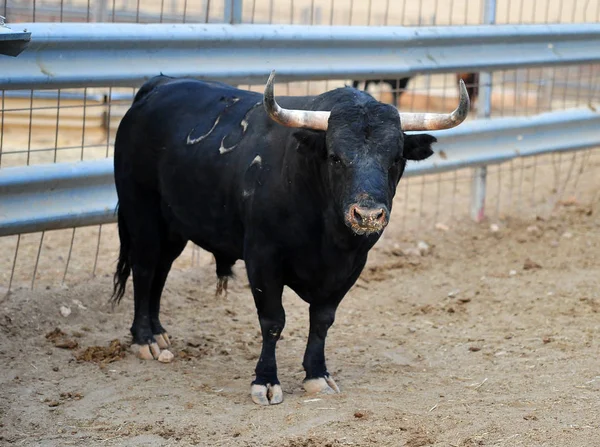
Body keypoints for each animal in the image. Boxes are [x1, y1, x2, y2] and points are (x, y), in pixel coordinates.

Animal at [111, 71, 468, 406]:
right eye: (335, 156)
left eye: (396, 158)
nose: (367, 215)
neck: (328, 237)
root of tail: (159, 86)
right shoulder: (262, 259)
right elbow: (272, 321)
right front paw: (266, 381)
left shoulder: (351, 266)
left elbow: (322, 320)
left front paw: (317, 374)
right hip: (141, 212)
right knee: (144, 269)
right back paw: (144, 339)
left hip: (174, 227)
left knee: (161, 271)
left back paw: (159, 333)